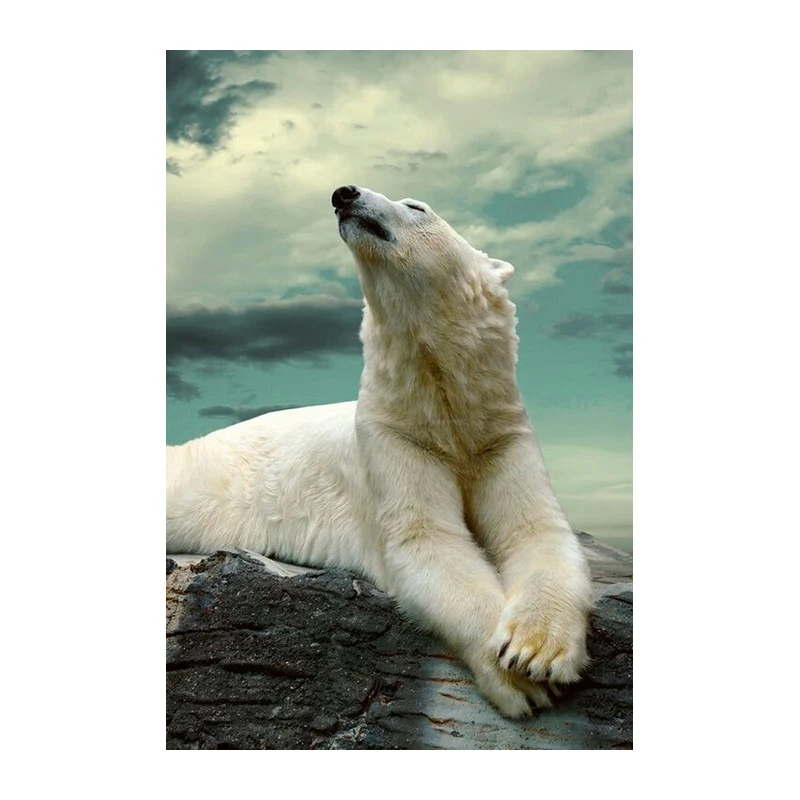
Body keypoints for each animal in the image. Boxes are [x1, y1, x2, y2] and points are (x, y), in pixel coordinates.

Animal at [167, 185, 594, 718]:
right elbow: (426, 539)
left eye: (417, 207)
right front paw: (517, 679)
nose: (343, 194)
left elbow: (535, 529)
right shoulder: (393, 437)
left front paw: (536, 651)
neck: (444, 406)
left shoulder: (499, 434)